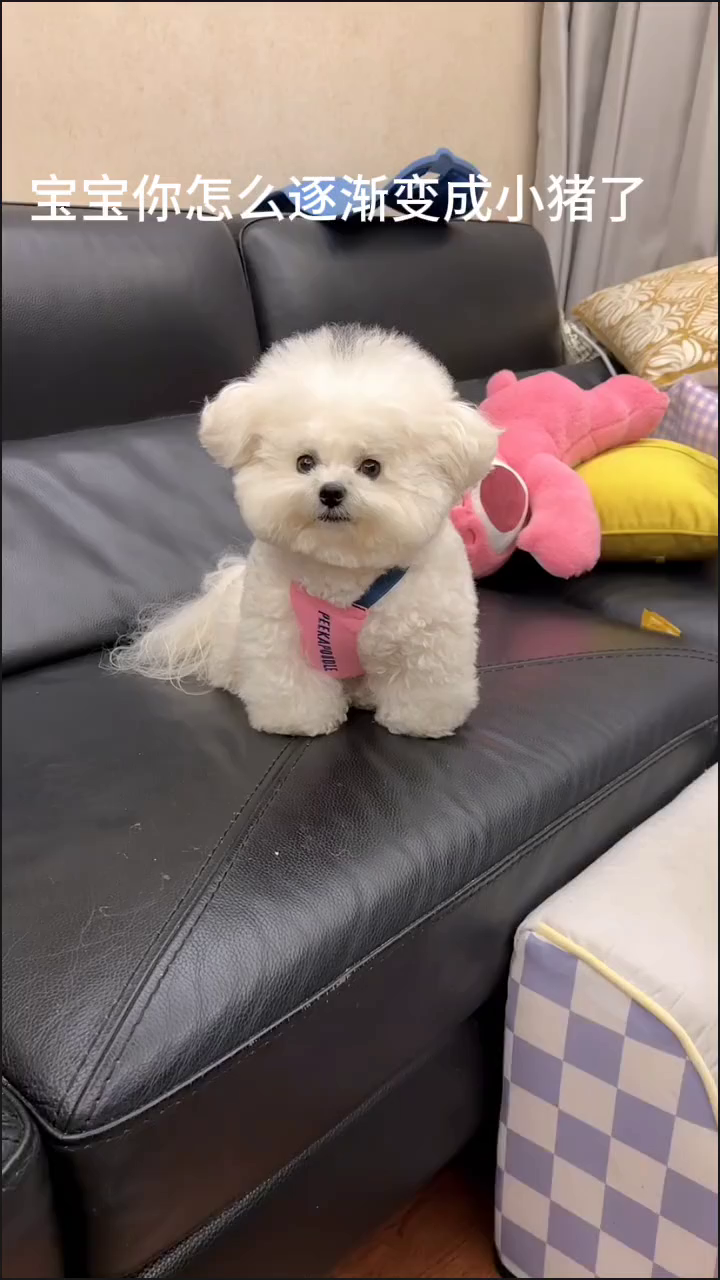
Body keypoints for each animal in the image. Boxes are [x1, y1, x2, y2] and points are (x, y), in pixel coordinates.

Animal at [111, 325, 498, 738]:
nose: (330, 492)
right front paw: (297, 722)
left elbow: (423, 683)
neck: (343, 571)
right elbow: (292, 684)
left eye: (371, 467)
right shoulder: (280, 634)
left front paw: (420, 723)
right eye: (305, 462)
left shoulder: (428, 637)